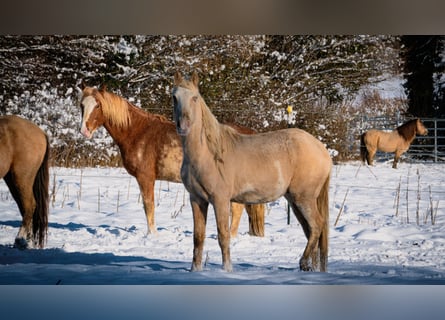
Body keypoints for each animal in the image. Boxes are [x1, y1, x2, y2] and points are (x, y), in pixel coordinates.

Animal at [0, 115, 48, 250]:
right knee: (24, 208)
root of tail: (41, 132)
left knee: (29, 206)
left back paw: (20, 240)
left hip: (21, 178)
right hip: (11, 179)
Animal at [78, 85, 264, 238]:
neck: (138, 132)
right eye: (82, 105)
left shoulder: (145, 178)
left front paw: (152, 235)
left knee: (237, 210)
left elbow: (149, 206)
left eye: (97, 105)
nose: (84, 131)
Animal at [172, 72, 332, 272]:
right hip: (295, 200)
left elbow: (223, 236)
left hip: (304, 198)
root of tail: (321, 148)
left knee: (317, 226)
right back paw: (309, 268)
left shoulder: (220, 200)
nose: (182, 126)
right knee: (310, 230)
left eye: (195, 98)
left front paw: (227, 270)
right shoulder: (197, 199)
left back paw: (303, 263)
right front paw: (195, 271)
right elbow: (198, 238)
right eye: (174, 97)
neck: (208, 153)